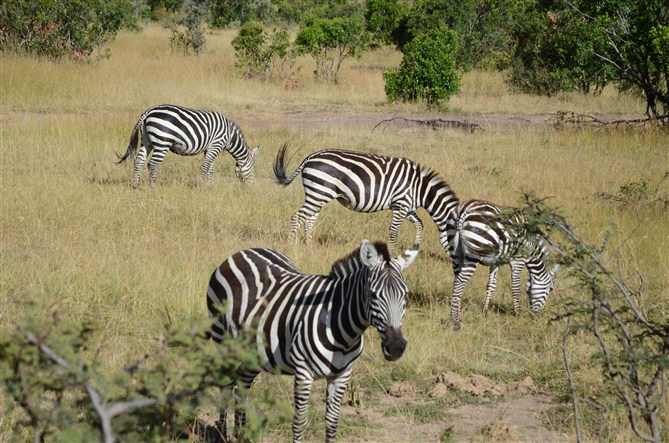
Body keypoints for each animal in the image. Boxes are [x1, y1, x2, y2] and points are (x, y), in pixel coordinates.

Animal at [117, 104, 258, 187]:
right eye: (254, 168)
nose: (250, 189)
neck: (229, 136)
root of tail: (148, 111)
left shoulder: (209, 148)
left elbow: (211, 168)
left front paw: (209, 187)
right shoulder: (216, 145)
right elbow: (205, 168)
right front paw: (200, 186)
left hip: (147, 141)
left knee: (139, 160)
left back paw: (135, 185)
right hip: (162, 142)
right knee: (152, 164)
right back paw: (154, 187)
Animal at [206, 241, 420, 442]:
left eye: (406, 295)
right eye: (373, 294)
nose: (396, 347)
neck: (343, 334)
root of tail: (241, 252)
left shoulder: (342, 375)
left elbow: (332, 422)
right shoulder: (303, 372)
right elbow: (300, 422)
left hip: (254, 351)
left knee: (242, 385)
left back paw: (240, 435)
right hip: (222, 340)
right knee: (226, 384)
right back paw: (222, 433)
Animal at [272, 144, 460, 251]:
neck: (419, 189)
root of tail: (309, 158)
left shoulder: (407, 208)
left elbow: (420, 224)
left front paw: (415, 249)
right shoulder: (400, 205)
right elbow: (394, 231)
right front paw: (391, 256)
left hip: (317, 194)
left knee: (309, 220)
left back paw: (310, 250)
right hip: (319, 193)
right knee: (297, 217)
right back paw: (289, 248)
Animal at [444, 199, 560, 332]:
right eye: (550, 289)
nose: (535, 316)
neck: (531, 248)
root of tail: (463, 209)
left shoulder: (495, 261)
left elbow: (491, 285)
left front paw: (485, 312)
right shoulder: (518, 260)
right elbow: (515, 287)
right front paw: (517, 314)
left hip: (455, 251)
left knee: (456, 281)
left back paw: (457, 314)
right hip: (474, 253)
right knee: (460, 282)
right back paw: (455, 321)